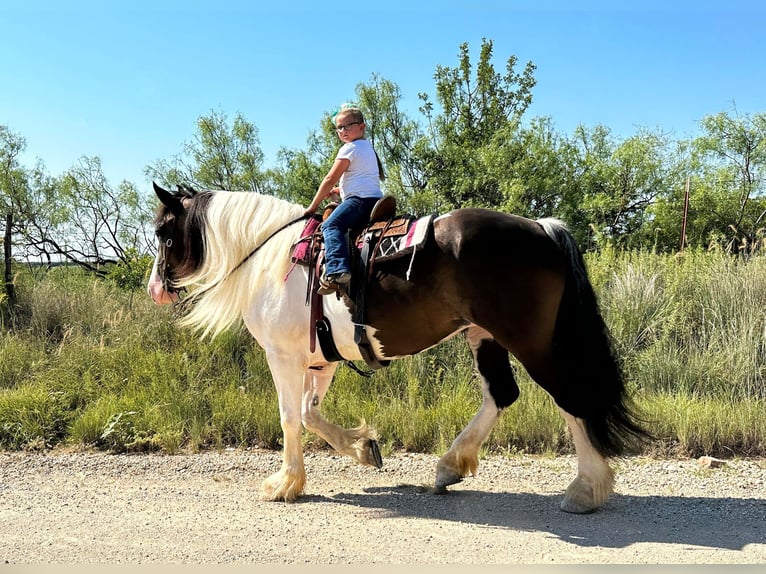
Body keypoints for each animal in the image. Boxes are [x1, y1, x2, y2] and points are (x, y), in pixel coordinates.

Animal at [148, 183, 648, 512]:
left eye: (164, 234)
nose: (155, 289)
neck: (271, 259)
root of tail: (543, 229)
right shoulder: (321, 360)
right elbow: (310, 414)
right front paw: (362, 448)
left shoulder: (283, 356)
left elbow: (291, 417)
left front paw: (286, 483)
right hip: (482, 336)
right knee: (501, 395)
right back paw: (450, 465)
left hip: (530, 341)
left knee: (570, 399)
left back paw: (586, 489)